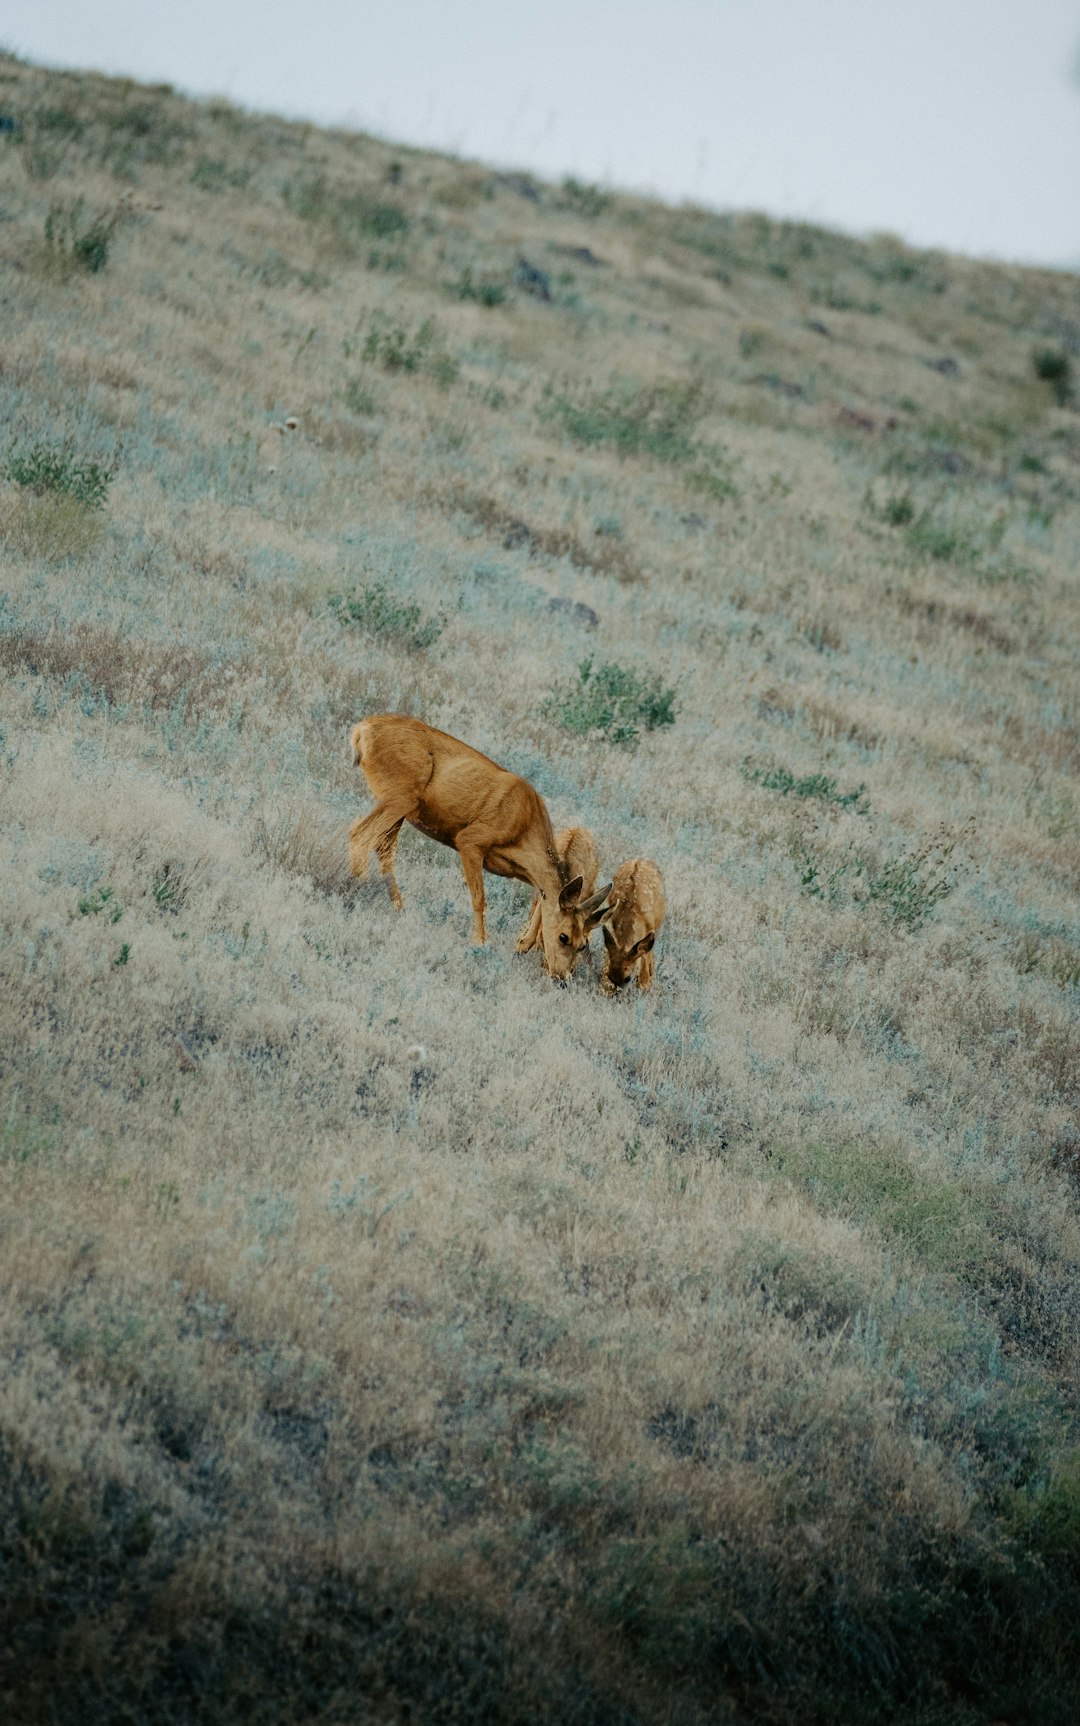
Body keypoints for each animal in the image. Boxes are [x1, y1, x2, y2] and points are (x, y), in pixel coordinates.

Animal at [348, 714, 610, 980]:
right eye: (563, 937)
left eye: (583, 943)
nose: (561, 978)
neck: (524, 827)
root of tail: (361, 730)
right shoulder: (471, 841)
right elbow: (480, 898)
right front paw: (480, 942)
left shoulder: (517, 868)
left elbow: (544, 894)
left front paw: (521, 945)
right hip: (399, 795)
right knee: (359, 834)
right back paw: (356, 891)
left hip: (401, 804)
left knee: (382, 847)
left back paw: (398, 906)